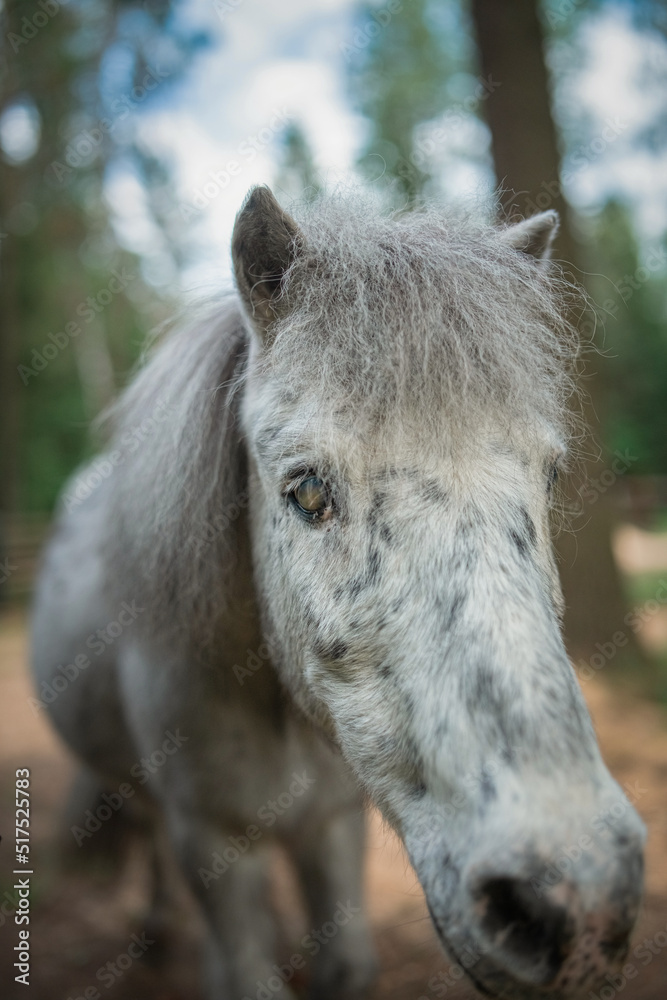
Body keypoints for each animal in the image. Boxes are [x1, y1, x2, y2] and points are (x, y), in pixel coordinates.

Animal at [31, 186, 645, 1000]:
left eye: (547, 476)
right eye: (308, 491)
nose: (578, 901)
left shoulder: (334, 826)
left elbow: (344, 963)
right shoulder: (211, 842)